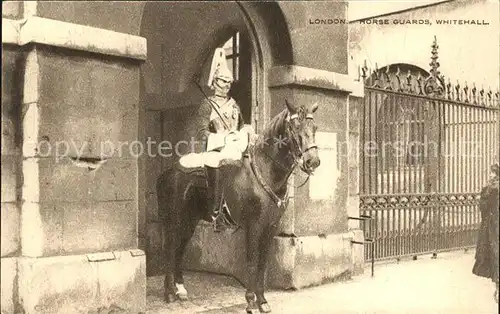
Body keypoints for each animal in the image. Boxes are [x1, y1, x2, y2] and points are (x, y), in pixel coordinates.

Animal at [156, 99, 320, 312]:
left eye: (314, 127)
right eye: (295, 127)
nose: (312, 161)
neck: (266, 171)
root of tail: (168, 172)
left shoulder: (270, 227)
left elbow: (262, 264)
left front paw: (262, 300)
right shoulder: (254, 226)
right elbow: (251, 261)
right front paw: (250, 301)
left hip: (189, 222)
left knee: (179, 250)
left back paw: (180, 289)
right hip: (174, 221)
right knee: (170, 249)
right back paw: (168, 292)